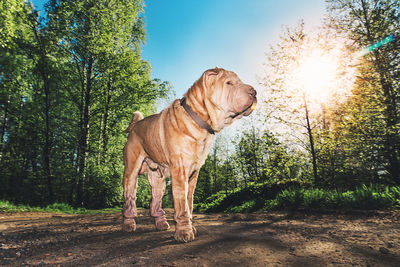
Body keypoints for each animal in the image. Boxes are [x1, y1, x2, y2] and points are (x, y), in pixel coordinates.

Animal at [123, 67, 258, 243]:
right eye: (229, 83)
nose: (254, 91)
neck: (199, 120)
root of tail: (135, 125)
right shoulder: (180, 170)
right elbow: (182, 205)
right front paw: (184, 232)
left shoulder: (193, 173)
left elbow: (189, 201)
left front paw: (190, 227)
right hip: (131, 172)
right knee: (129, 199)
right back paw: (128, 224)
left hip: (157, 178)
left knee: (156, 200)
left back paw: (161, 223)